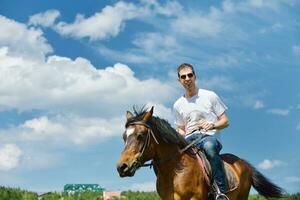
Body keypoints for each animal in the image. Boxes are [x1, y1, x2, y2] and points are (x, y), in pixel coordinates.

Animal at [117, 108, 284, 200]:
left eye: (141, 135)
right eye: (124, 137)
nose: (121, 167)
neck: (175, 171)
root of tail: (242, 162)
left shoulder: (195, 198)